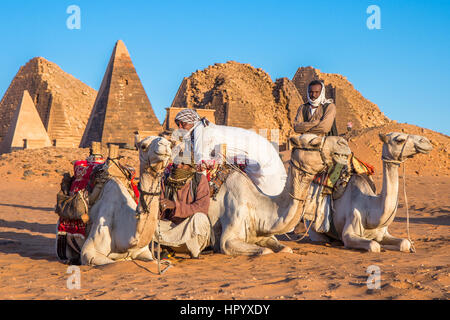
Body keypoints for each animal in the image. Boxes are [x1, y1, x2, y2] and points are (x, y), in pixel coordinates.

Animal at [80, 136, 171, 264]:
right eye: (143, 146)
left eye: (170, 144)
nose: (165, 144)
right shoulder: (88, 252)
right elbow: (110, 263)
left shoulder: (143, 251)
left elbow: (153, 261)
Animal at [206, 133, 354, 255]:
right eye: (314, 143)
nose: (343, 142)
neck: (255, 205)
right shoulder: (227, 240)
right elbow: (265, 251)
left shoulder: (264, 235)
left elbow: (286, 249)